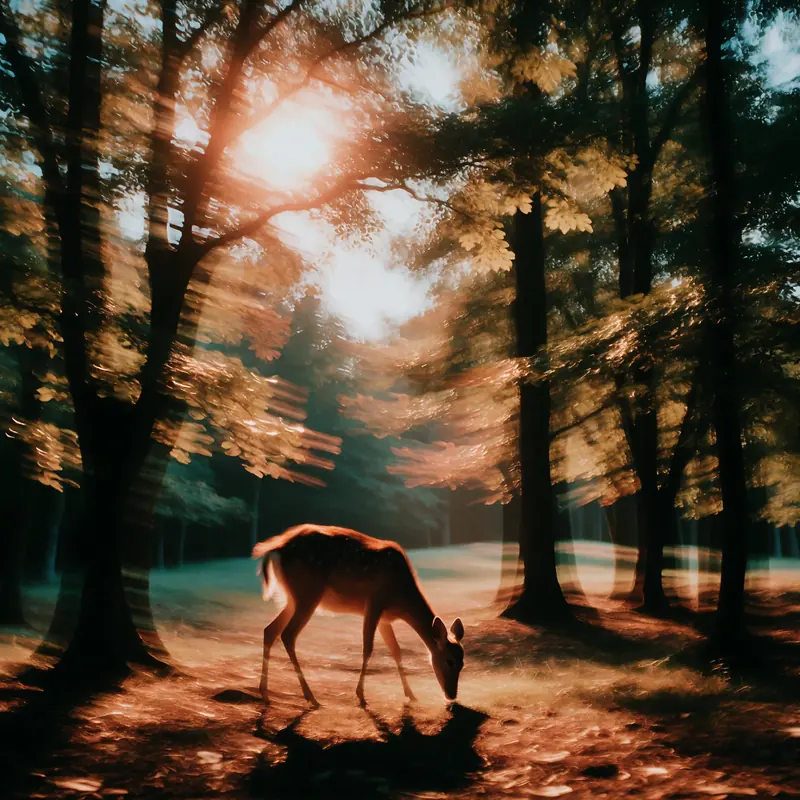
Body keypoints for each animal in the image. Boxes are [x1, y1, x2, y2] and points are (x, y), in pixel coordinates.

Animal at [252, 523, 465, 707]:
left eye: (463, 663)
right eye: (450, 661)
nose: (451, 695)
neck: (401, 599)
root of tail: (276, 549)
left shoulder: (385, 618)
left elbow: (396, 650)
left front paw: (411, 694)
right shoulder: (375, 603)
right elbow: (368, 648)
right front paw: (360, 695)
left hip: (293, 598)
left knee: (269, 630)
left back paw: (265, 693)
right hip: (308, 592)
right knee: (288, 634)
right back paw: (311, 697)